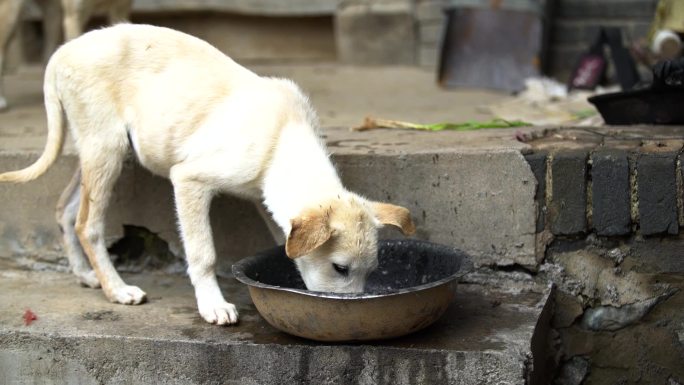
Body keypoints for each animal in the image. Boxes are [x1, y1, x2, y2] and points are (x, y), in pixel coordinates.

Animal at [0, 24, 414, 324]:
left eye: (370, 271)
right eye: (340, 268)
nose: (351, 314)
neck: (282, 137)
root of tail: (62, 52)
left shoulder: (268, 202)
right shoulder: (189, 180)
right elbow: (203, 253)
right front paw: (212, 305)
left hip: (95, 151)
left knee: (65, 210)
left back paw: (87, 276)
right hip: (107, 148)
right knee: (88, 224)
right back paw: (116, 289)